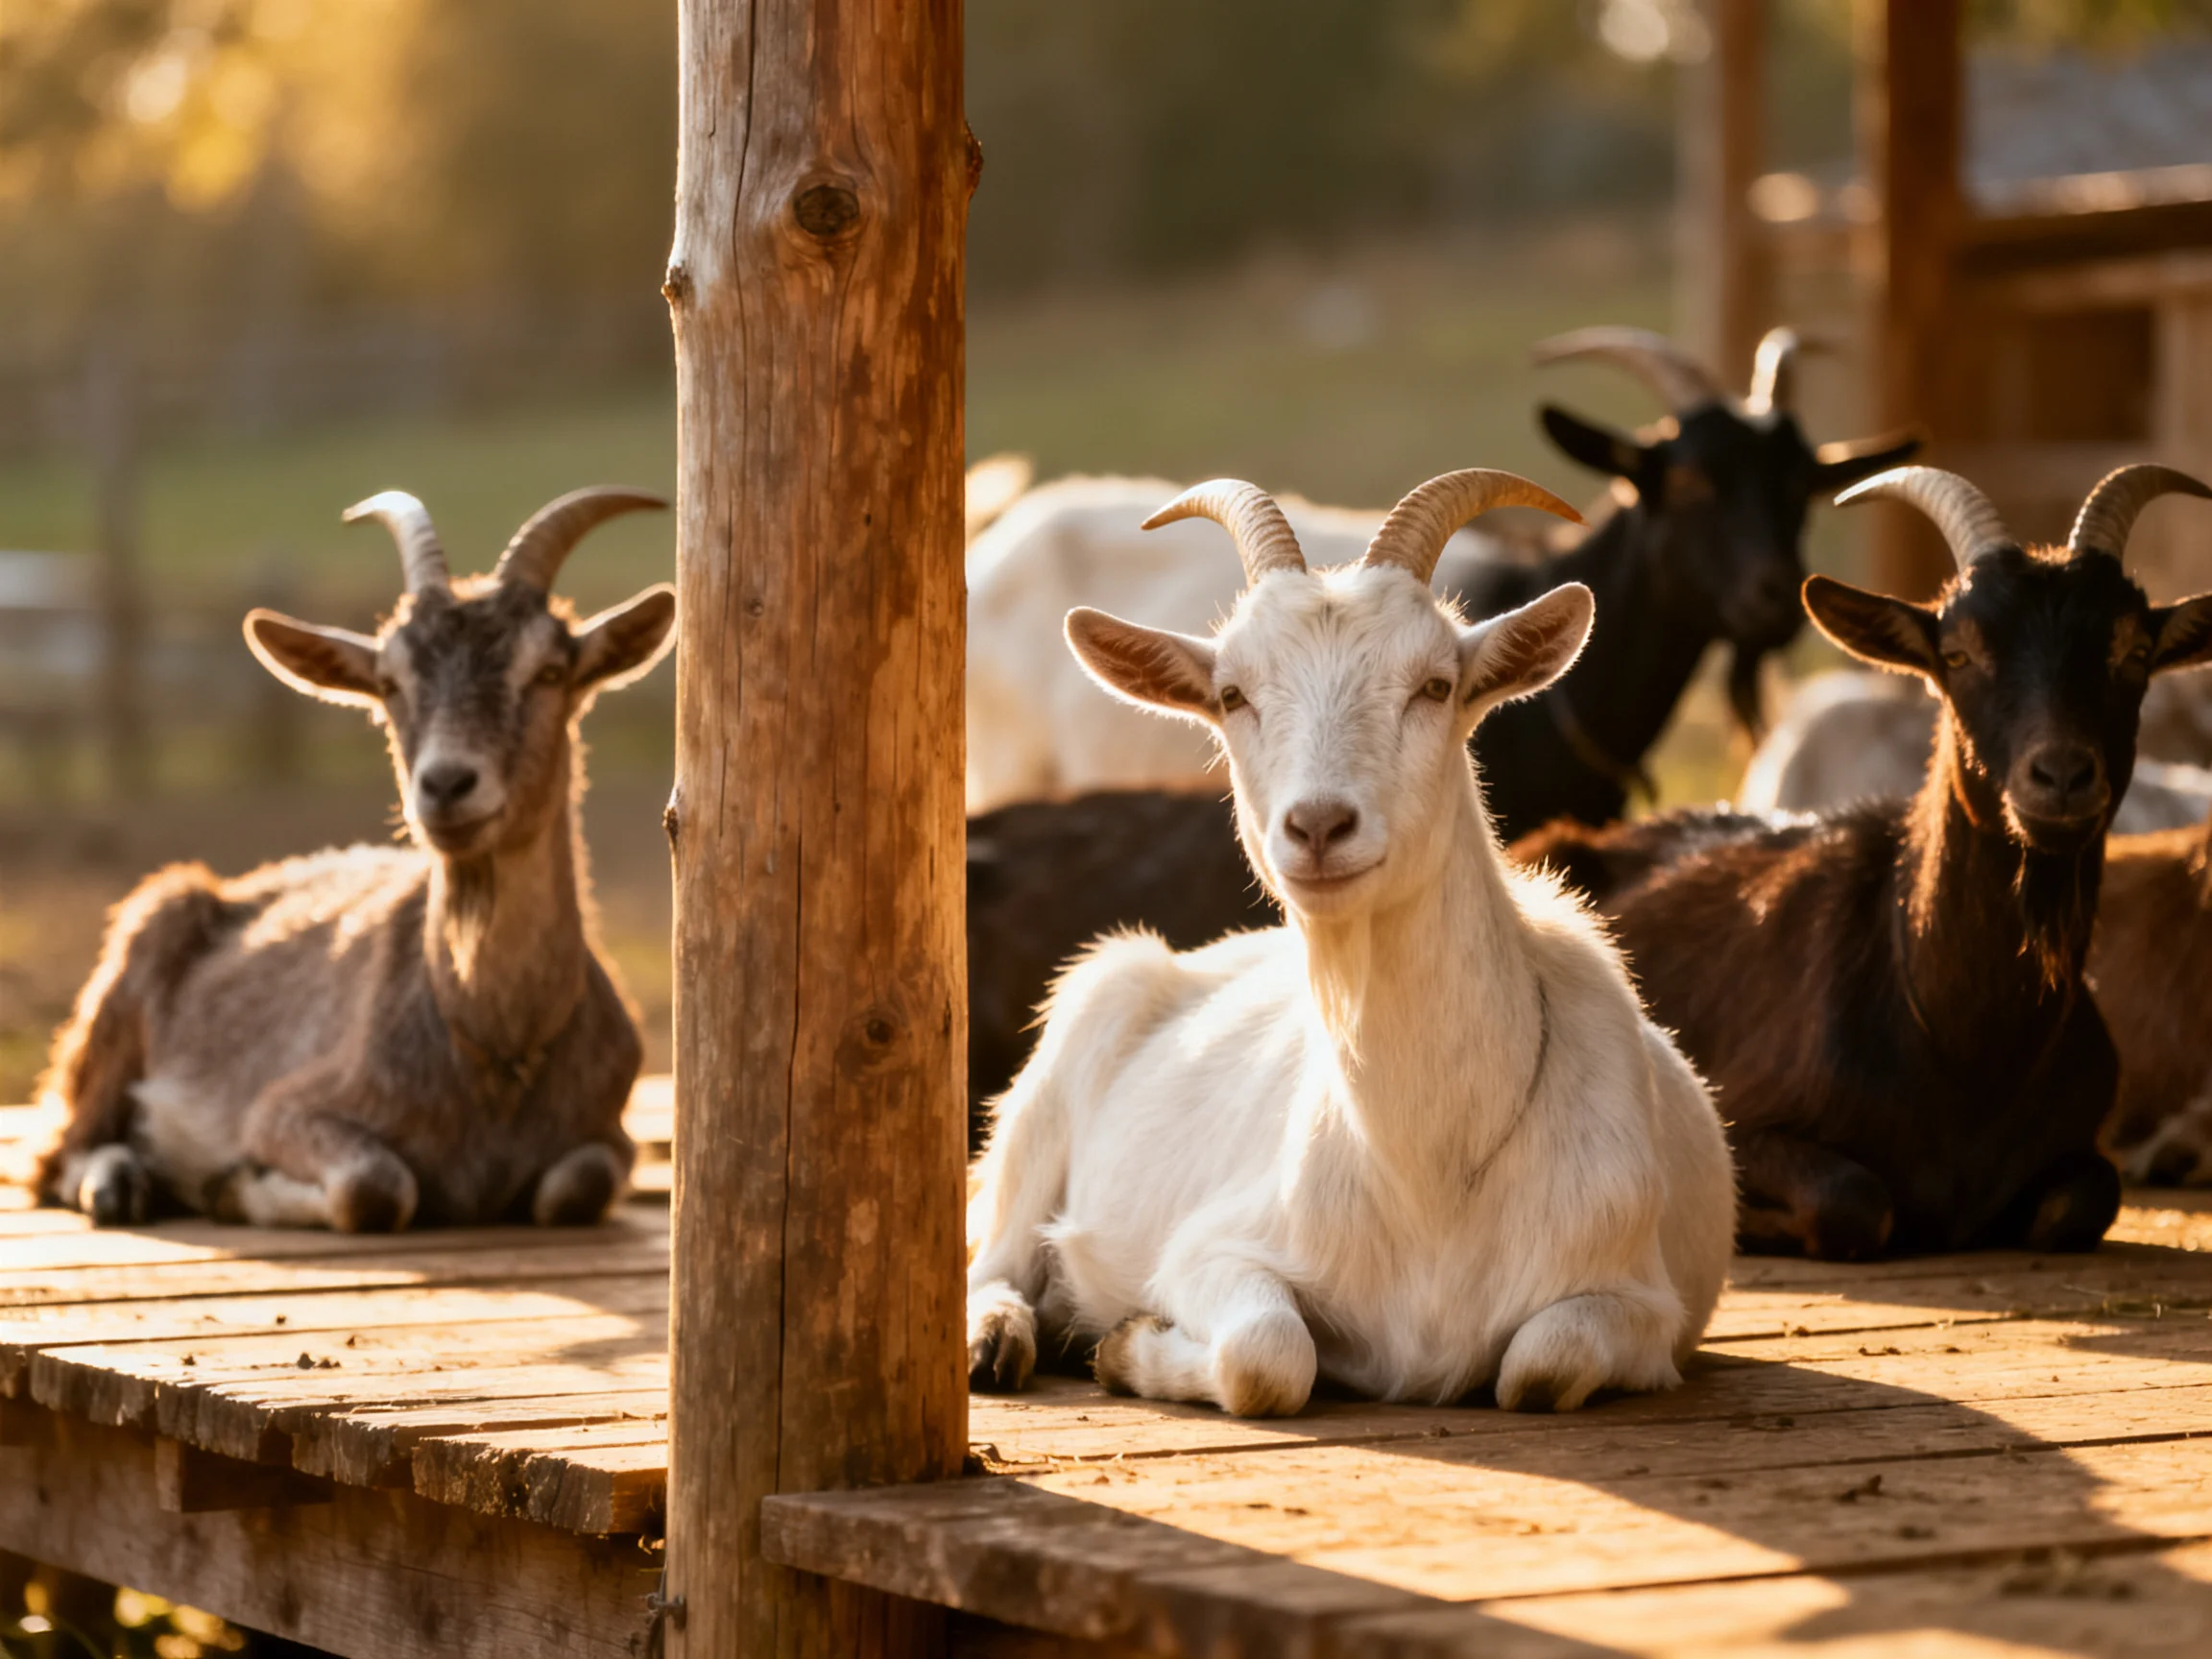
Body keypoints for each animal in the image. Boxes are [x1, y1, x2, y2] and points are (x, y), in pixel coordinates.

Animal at [35, 489, 675, 1231]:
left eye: (549, 672)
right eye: (390, 682)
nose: (445, 784)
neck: (496, 1048)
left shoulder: (612, 1133)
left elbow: (577, 1186)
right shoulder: (282, 1107)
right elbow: (375, 1185)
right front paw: (232, 1185)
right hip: (131, 968)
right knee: (59, 1150)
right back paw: (121, 1183)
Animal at [966, 472, 1735, 1417]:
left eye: (1436, 685)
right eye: (1232, 695)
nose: (1319, 825)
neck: (1428, 1180)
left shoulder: (1642, 1305)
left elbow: (1541, 1365)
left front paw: (1117, 1344)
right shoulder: (1210, 1248)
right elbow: (1268, 1352)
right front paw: (1125, 1342)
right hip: (1064, 1056)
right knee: (994, 1254)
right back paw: (997, 1339)